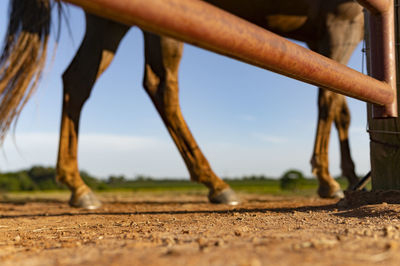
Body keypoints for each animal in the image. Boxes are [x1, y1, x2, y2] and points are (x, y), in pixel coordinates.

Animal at [0, 0, 362, 209]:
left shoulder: (321, 37)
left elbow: (342, 105)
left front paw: (352, 175)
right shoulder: (341, 23)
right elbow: (329, 99)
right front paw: (328, 180)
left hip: (111, 22)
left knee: (78, 81)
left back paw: (78, 186)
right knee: (162, 88)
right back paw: (216, 184)